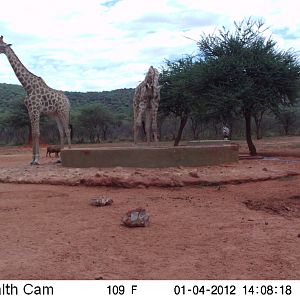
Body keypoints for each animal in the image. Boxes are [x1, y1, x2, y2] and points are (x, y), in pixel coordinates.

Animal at [0, 37, 71, 166]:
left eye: (1, 44)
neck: (28, 87)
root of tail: (68, 101)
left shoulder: (36, 110)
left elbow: (36, 133)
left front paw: (37, 160)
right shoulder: (30, 111)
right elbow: (33, 133)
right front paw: (32, 160)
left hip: (63, 112)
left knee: (67, 130)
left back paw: (67, 155)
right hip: (56, 114)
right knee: (61, 132)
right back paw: (59, 159)